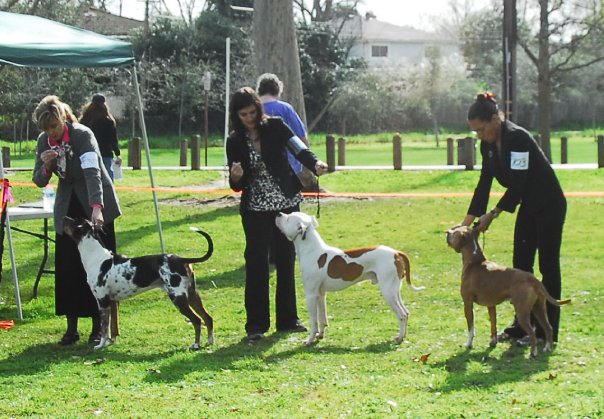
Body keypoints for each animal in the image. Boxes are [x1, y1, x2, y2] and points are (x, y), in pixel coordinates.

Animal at [63, 217, 215, 352]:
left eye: (72, 221)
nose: (63, 217)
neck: (96, 258)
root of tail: (181, 259)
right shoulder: (112, 301)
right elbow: (112, 328)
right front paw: (110, 343)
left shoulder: (103, 302)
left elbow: (104, 329)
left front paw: (100, 345)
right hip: (193, 295)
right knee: (208, 318)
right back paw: (209, 341)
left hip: (178, 298)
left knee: (197, 320)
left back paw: (196, 345)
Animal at [274, 212, 424, 346]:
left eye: (288, 218)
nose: (278, 214)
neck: (312, 250)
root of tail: (396, 252)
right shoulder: (321, 294)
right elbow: (322, 317)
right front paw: (320, 335)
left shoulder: (310, 295)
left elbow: (313, 321)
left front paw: (310, 340)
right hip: (394, 291)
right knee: (406, 312)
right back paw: (403, 336)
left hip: (387, 292)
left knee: (401, 315)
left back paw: (399, 338)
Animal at [444, 225, 572, 360]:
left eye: (454, 232)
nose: (446, 232)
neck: (474, 262)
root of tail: (534, 279)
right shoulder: (491, 305)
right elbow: (493, 324)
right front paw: (493, 342)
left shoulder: (467, 303)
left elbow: (471, 328)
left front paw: (468, 344)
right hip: (539, 308)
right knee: (548, 327)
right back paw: (547, 348)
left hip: (522, 312)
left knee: (532, 332)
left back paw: (533, 353)